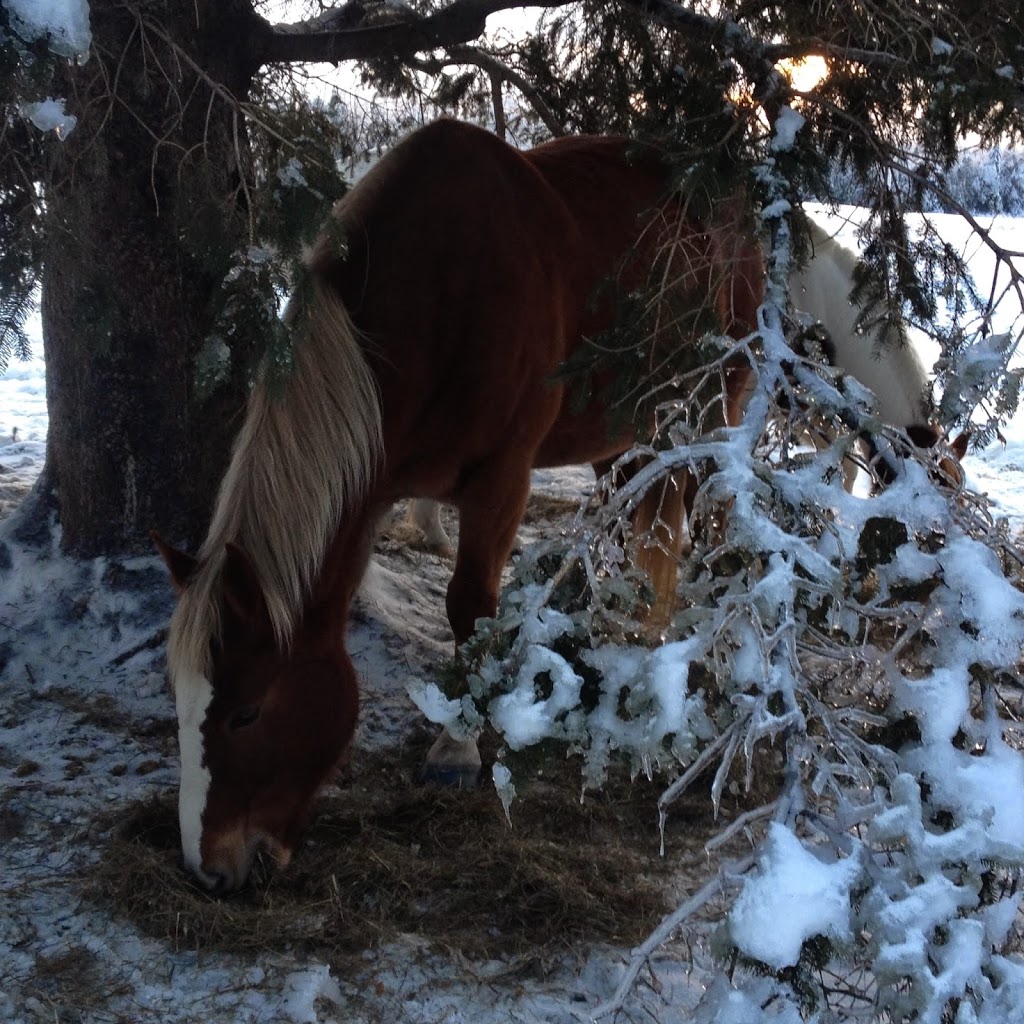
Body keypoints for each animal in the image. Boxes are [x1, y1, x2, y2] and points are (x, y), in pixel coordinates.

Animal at [151, 117, 761, 888]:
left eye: (246, 714)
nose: (208, 868)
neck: (441, 292)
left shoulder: (501, 478)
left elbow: (468, 606)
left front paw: (457, 747)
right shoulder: (374, 487)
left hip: (716, 404)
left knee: (705, 519)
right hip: (626, 427)